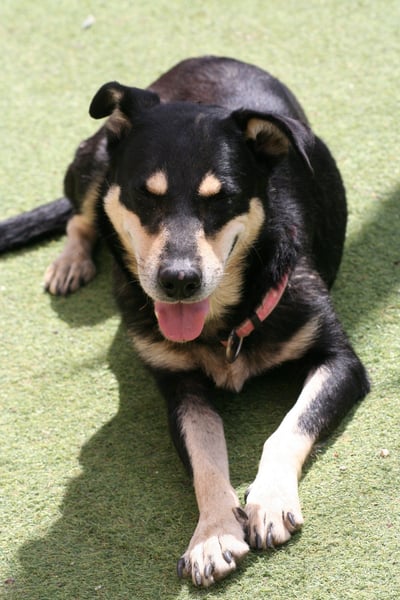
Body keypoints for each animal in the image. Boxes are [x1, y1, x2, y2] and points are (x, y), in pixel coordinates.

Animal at [4, 56, 370, 587]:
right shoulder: (180, 387)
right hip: (97, 159)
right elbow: (205, 458)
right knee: (80, 216)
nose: (179, 280)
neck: (224, 322)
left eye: (222, 199)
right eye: (144, 195)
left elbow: (289, 427)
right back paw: (71, 262)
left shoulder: (340, 359)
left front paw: (268, 501)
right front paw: (213, 534)